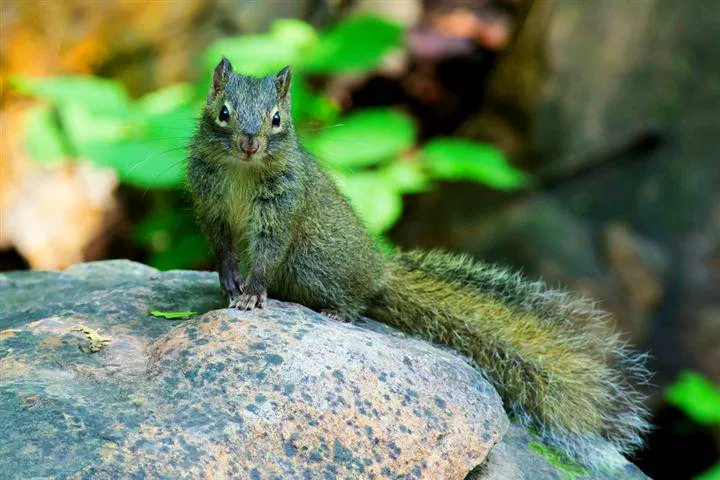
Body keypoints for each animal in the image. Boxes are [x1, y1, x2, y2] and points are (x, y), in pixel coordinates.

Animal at [187, 57, 652, 472]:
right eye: (223, 112)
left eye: (277, 119)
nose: (250, 143)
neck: (242, 171)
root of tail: (381, 271)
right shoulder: (211, 207)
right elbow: (224, 249)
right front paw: (230, 283)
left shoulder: (281, 209)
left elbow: (267, 253)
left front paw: (252, 293)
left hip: (313, 265)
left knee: (355, 299)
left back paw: (337, 311)